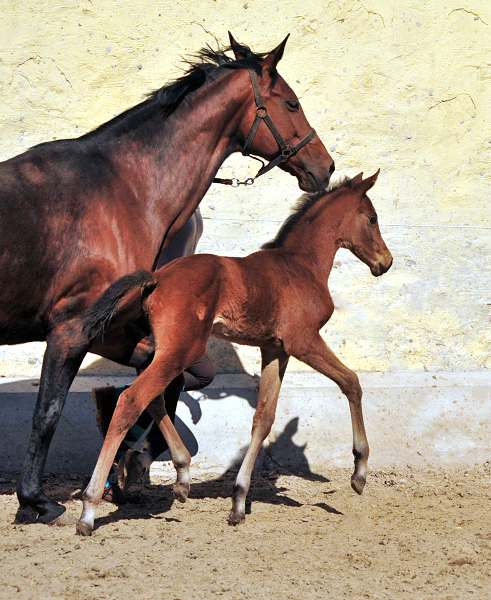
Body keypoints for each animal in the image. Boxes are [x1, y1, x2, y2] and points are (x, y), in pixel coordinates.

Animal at [76, 170, 392, 536]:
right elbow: (351, 382)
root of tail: (156, 277)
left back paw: (180, 476)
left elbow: (264, 418)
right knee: (132, 400)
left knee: (153, 399)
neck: (301, 264)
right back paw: (89, 508)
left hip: (164, 350)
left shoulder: (275, 350)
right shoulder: (303, 341)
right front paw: (359, 473)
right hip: (182, 349)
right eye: (372, 218)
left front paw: (239, 501)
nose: (386, 262)